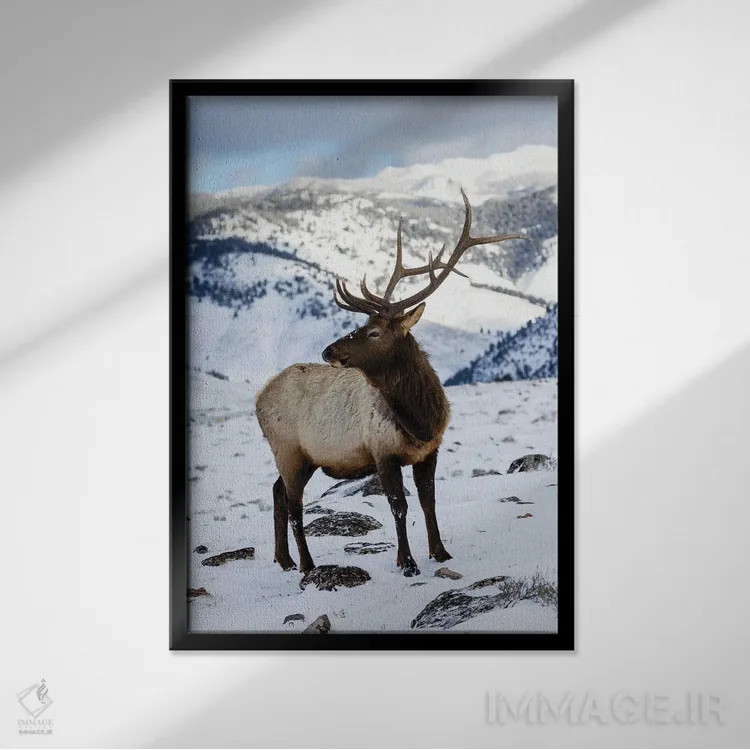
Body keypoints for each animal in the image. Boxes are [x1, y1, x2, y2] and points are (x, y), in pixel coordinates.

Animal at [255, 190, 526, 576]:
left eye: (373, 331)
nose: (328, 350)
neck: (421, 420)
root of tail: (258, 398)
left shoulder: (430, 451)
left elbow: (428, 502)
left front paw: (440, 552)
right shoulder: (382, 451)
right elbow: (399, 506)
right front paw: (407, 562)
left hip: (301, 458)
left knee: (277, 493)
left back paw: (285, 559)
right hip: (288, 450)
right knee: (293, 506)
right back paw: (307, 564)